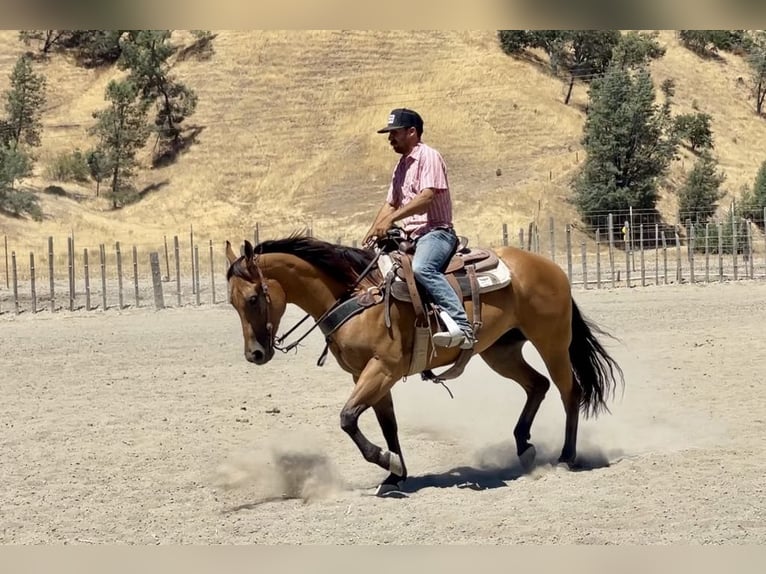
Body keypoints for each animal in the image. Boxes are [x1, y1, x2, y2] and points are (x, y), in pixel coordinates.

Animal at [225, 232, 628, 498]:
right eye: (231, 302)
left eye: (253, 297)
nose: (255, 354)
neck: (357, 296)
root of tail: (551, 267)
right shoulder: (366, 375)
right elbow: (386, 425)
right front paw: (395, 473)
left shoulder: (382, 369)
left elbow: (347, 418)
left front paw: (386, 462)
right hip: (501, 351)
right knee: (538, 385)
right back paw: (524, 445)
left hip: (552, 342)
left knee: (569, 391)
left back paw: (566, 456)